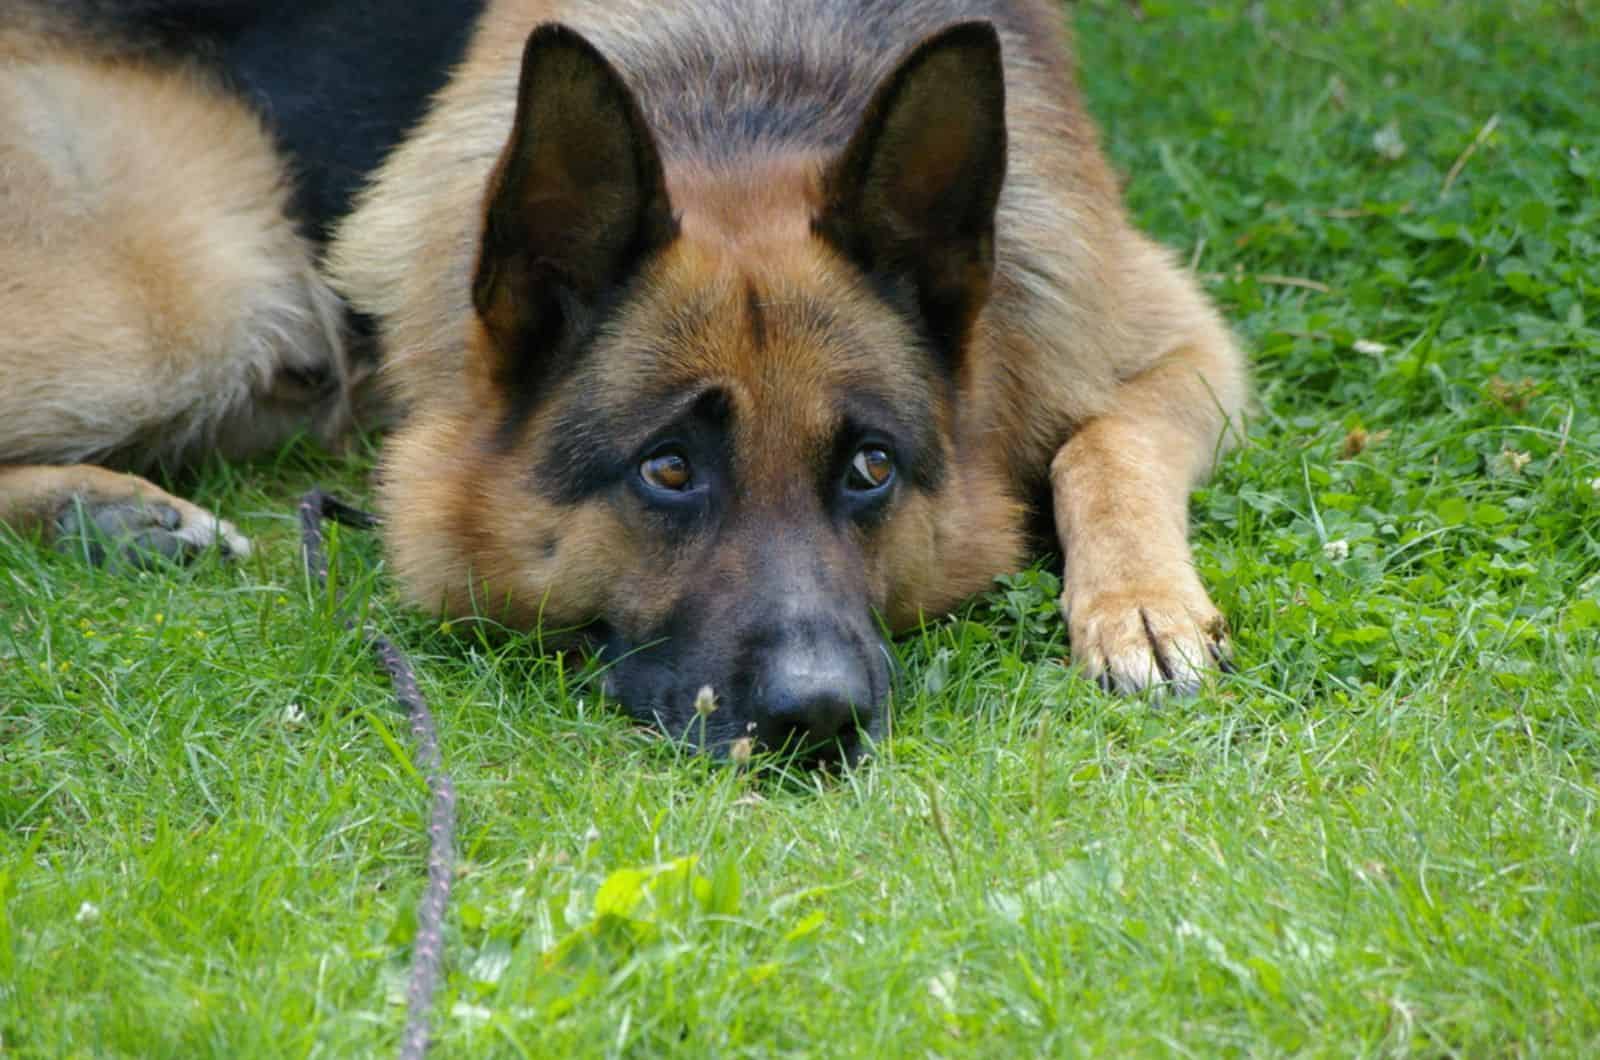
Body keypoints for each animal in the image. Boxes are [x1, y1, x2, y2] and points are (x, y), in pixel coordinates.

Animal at [0, 0, 1248, 765]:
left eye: (869, 468)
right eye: (668, 470)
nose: (818, 715)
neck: (751, 98)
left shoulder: (1175, 337)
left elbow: (1103, 444)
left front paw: (1138, 604)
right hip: (188, 295)